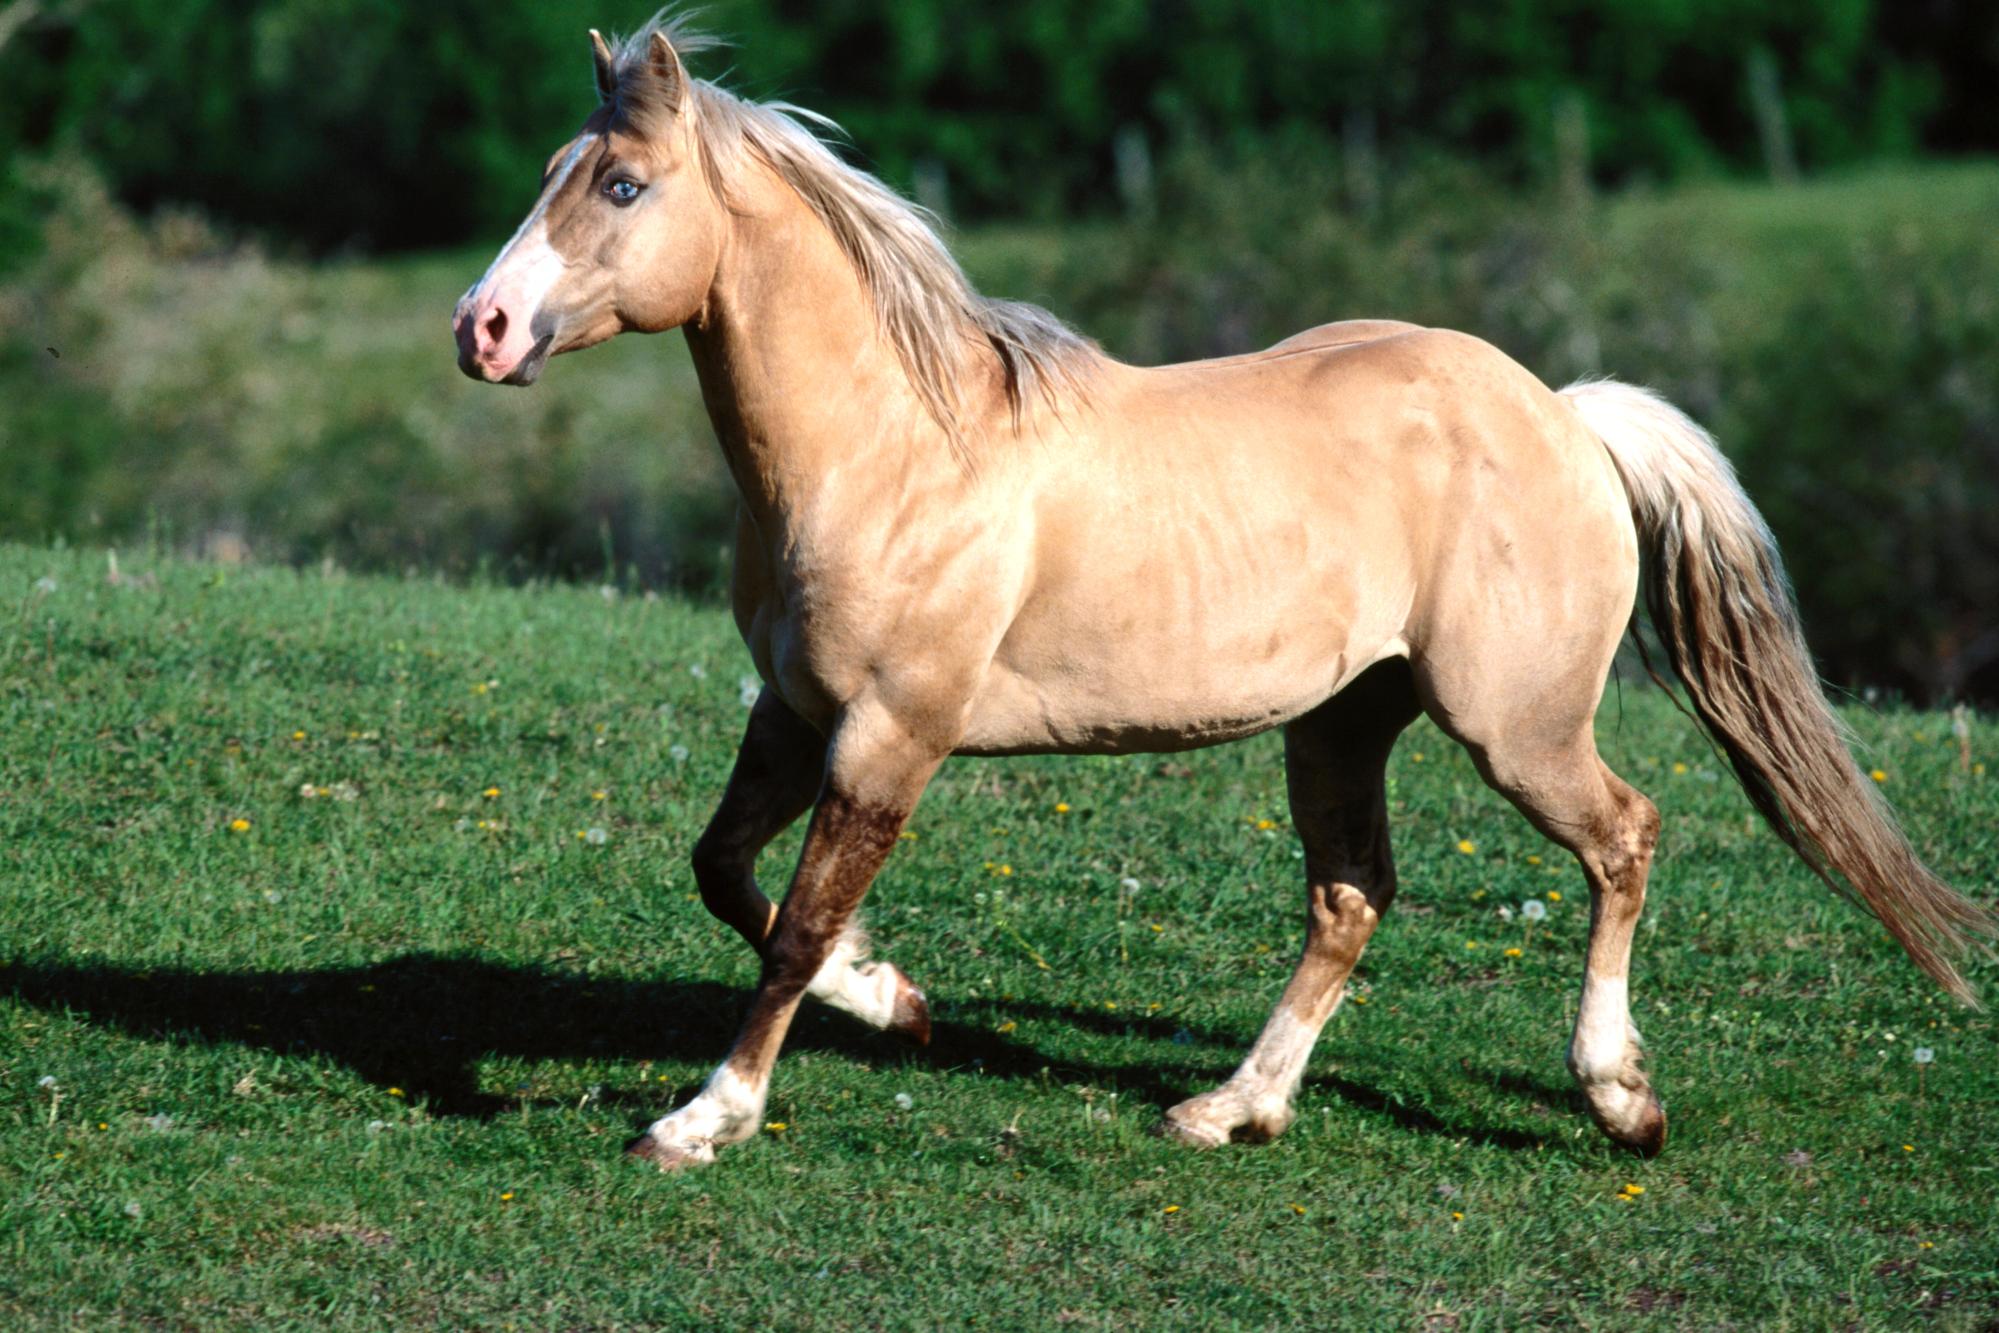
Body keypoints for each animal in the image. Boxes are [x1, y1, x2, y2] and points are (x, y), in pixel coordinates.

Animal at [457, 18, 1999, 1167]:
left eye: (620, 187)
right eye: (548, 170)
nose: (480, 330)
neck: (896, 450)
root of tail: (1563, 414)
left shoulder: (891, 735)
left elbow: (791, 930)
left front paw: (703, 1119)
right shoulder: (790, 714)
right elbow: (726, 877)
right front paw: (898, 1003)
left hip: (1514, 725)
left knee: (1620, 838)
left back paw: (1618, 1097)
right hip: (1341, 721)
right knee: (1350, 896)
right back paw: (1229, 1109)